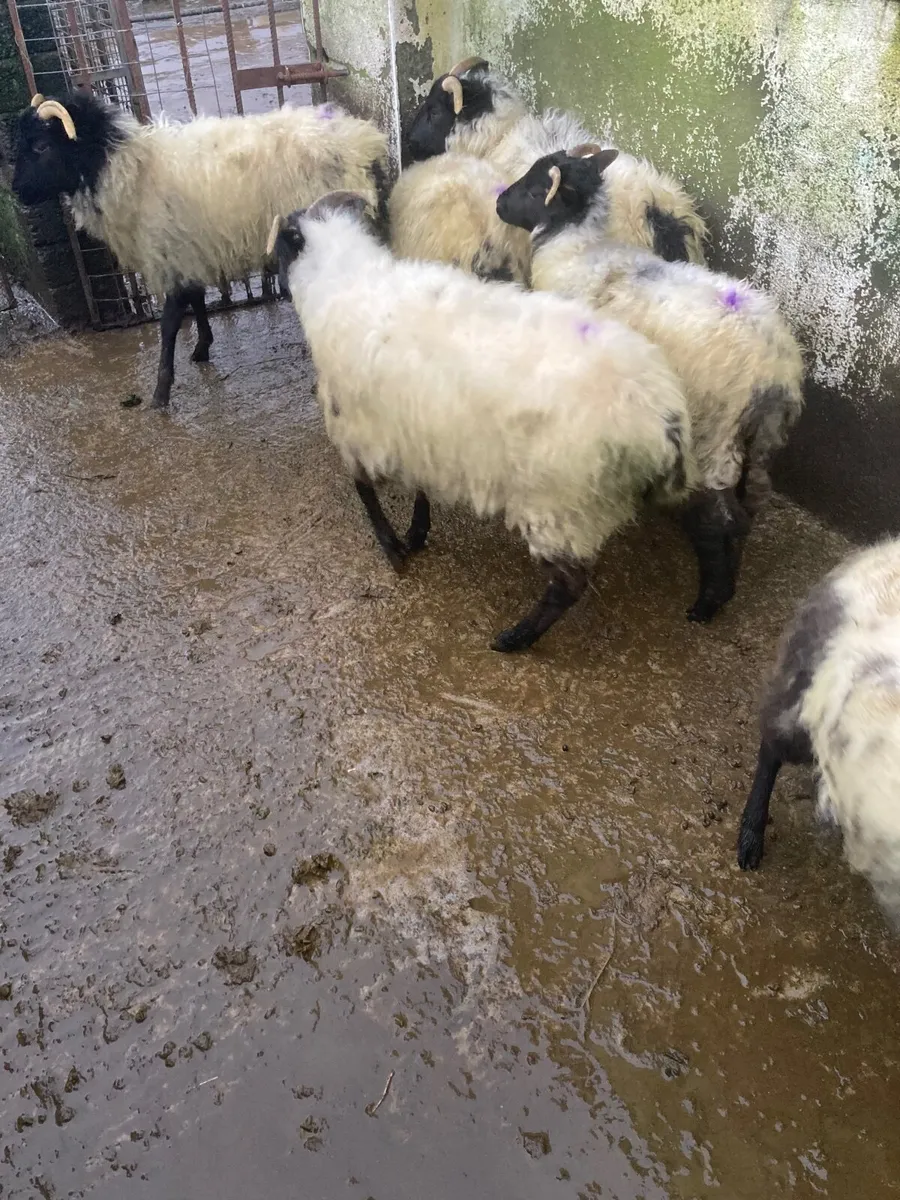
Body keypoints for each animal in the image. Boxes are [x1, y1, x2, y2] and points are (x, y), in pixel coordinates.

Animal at [11, 92, 389, 408]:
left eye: (41, 146)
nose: (16, 192)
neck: (131, 170)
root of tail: (364, 141)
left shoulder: (169, 253)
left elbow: (169, 323)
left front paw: (160, 393)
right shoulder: (188, 249)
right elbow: (195, 300)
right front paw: (202, 346)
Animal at [268, 190, 697, 652]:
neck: (346, 276)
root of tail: (663, 414)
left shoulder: (355, 427)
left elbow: (364, 492)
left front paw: (393, 548)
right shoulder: (416, 427)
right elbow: (419, 487)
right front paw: (417, 532)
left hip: (561, 505)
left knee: (569, 585)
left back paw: (515, 638)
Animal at [496, 146, 804, 623]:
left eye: (533, 188)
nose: (497, 202)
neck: (580, 246)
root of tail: (776, 371)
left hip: (717, 431)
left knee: (728, 516)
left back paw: (710, 599)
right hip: (764, 439)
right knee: (752, 504)